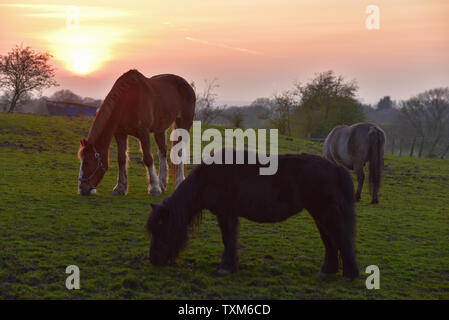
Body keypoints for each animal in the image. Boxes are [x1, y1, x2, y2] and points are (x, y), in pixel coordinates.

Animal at [147, 149, 360, 280]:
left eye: (161, 229)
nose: (154, 261)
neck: (209, 177)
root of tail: (336, 168)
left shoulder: (227, 215)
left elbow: (228, 239)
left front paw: (226, 267)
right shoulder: (225, 216)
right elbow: (228, 240)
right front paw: (226, 264)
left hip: (326, 213)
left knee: (340, 238)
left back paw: (349, 274)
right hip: (319, 215)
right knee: (330, 241)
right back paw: (327, 271)